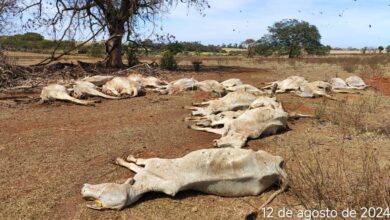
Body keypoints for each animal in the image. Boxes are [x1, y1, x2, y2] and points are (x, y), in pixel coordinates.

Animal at [80, 148, 286, 211]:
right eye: (102, 204)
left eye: (104, 190)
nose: (82, 190)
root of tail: (278, 168)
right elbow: (136, 168)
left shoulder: (156, 162)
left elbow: (137, 163)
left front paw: (125, 158)